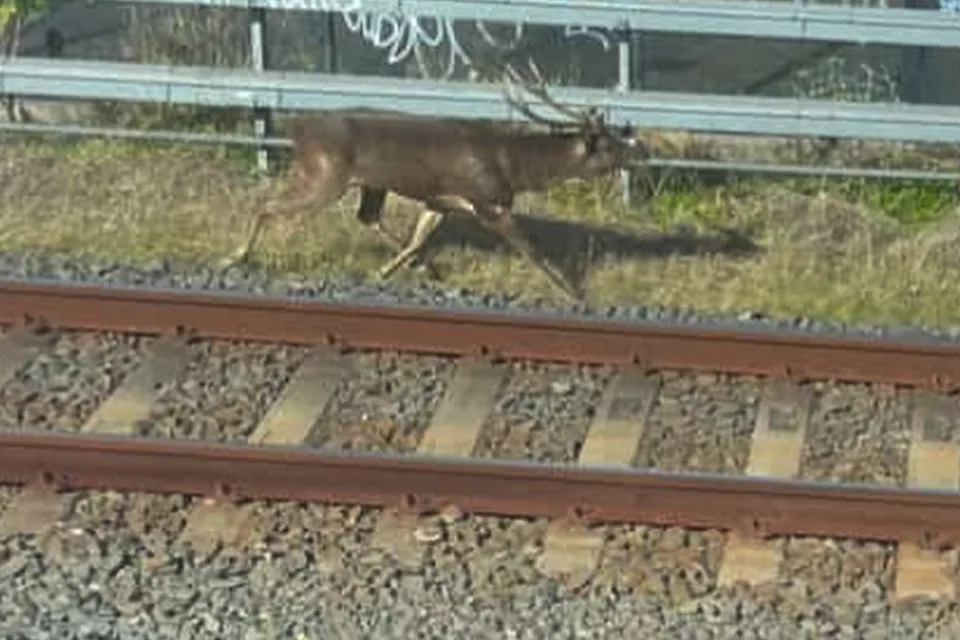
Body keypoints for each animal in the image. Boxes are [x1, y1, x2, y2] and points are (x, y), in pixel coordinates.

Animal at [219, 61, 648, 299]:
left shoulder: (441, 200)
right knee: (267, 204)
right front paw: (575, 293)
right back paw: (233, 256)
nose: (641, 148)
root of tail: (298, 130)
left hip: (370, 182)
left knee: (367, 216)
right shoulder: (491, 202)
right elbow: (533, 250)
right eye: (609, 144)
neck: (515, 167)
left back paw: (423, 268)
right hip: (326, 175)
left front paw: (389, 272)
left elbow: (417, 239)